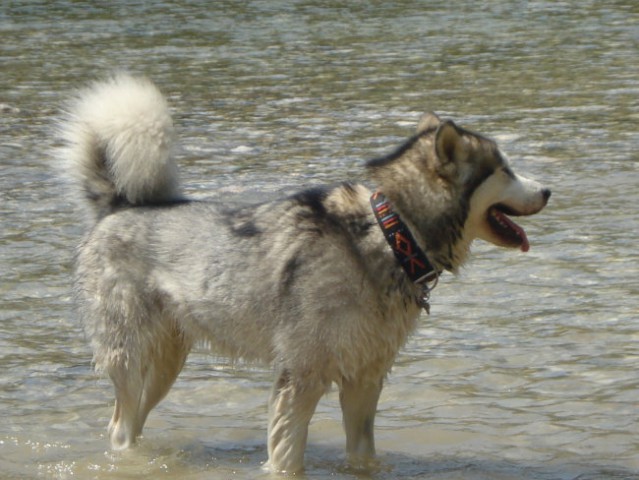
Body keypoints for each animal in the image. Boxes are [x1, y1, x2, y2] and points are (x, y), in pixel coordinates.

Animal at [60, 75, 552, 472]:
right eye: (504, 169)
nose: (548, 190)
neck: (392, 233)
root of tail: (118, 205)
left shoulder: (365, 381)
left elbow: (362, 456)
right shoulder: (300, 379)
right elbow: (286, 457)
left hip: (165, 365)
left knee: (133, 423)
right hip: (130, 357)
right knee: (120, 426)